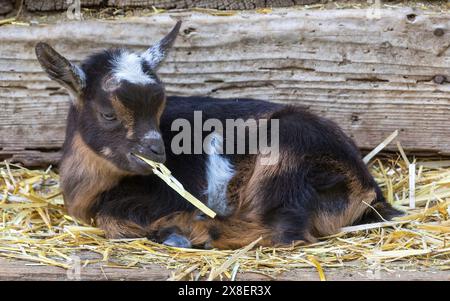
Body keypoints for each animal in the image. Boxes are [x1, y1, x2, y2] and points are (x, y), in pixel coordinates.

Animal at [36, 21, 400, 248]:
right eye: (108, 114)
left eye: (160, 107)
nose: (157, 152)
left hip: (284, 155)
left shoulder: (163, 196)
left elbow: (111, 219)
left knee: (285, 230)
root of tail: (367, 189)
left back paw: (195, 231)